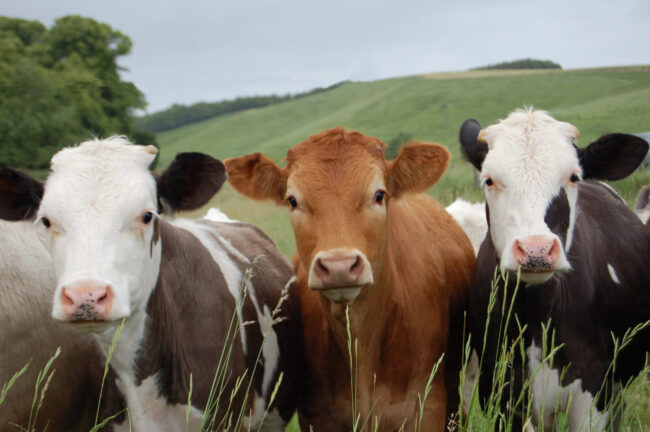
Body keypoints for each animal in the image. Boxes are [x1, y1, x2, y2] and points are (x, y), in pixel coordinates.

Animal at [459, 108, 650, 431]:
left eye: (573, 176)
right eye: (489, 180)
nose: (536, 250)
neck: (538, 313)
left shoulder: (593, 393)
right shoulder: (499, 392)